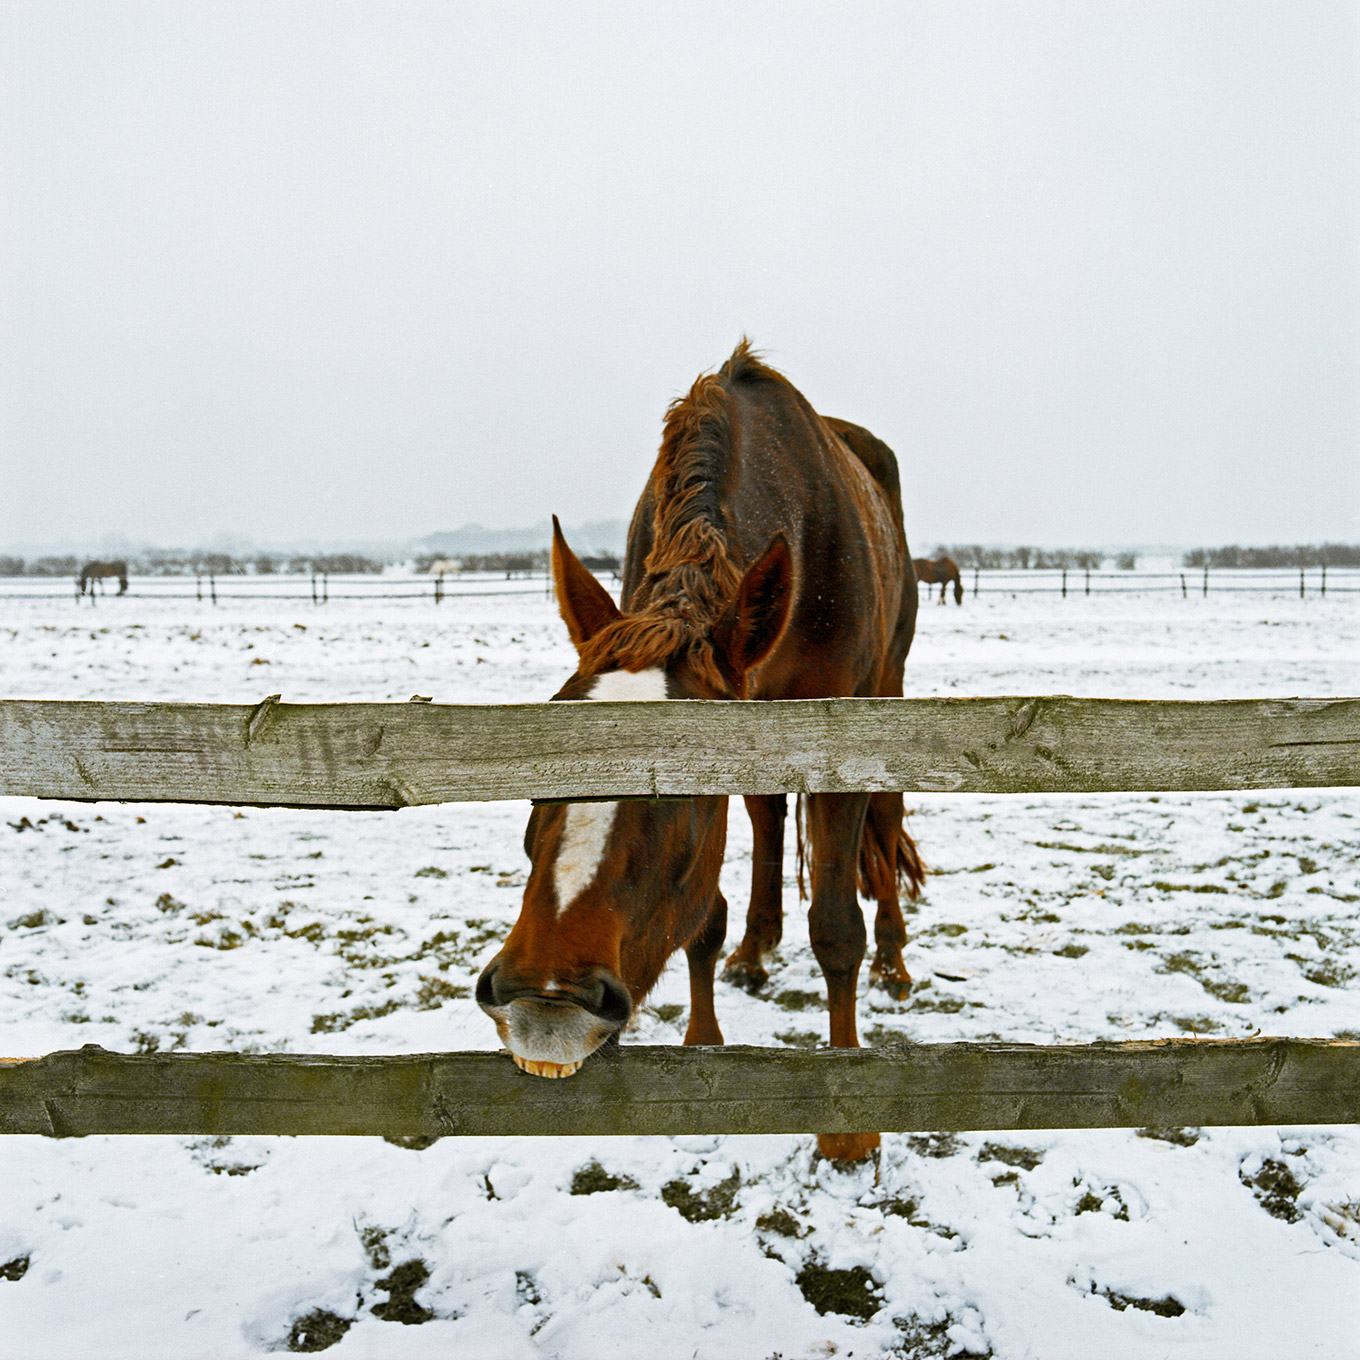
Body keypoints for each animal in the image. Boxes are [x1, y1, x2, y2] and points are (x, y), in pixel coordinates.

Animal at [476, 341, 924, 1162]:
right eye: (537, 769)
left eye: (682, 784)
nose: (545, 1000)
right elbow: (703, 916)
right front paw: (704, 1046)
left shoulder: (842, 745)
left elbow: (835, 927)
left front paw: (848, 1117)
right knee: (770, 819)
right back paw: (755, 948)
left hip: (890, 687)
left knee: (886, 820)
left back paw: (893, 957)